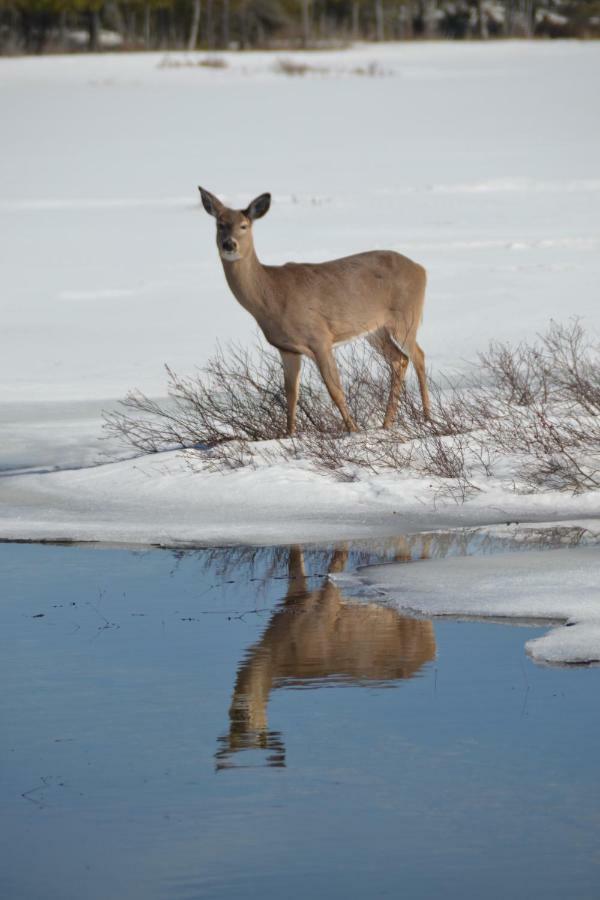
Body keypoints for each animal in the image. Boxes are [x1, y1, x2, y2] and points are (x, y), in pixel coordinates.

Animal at [199, 187, 428, 436]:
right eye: (220, 224)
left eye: (244, 225)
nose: (229, 245)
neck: (271, 295)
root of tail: (421, 269)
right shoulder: (287, 348)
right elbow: (291, 394)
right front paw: (289, 434)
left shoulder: (319, 337)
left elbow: (335, 390)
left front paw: (353, 430)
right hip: (375, 330)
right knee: (399, 359)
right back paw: (387, 424)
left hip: (406, 317)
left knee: (418, 355)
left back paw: (427, 419)